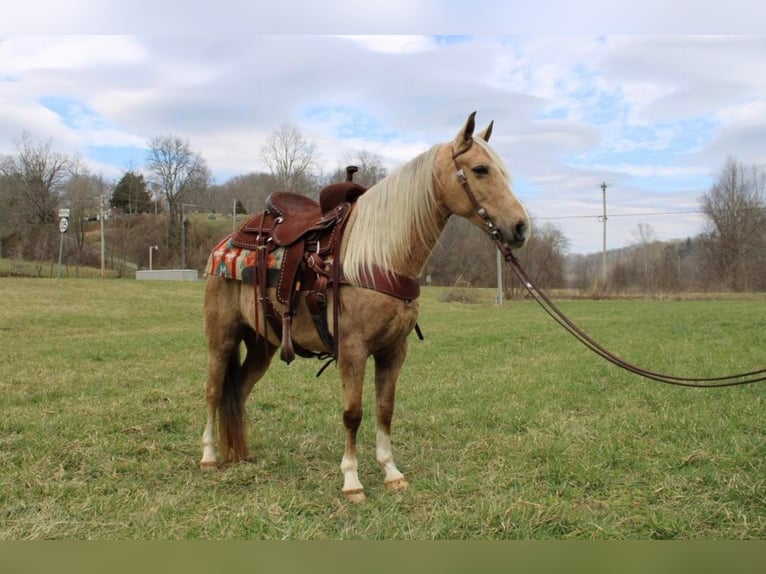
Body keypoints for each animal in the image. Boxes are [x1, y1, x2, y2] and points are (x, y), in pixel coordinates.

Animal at [201, 112, 532, 504]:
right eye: (481, 169)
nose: (521, 227)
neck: (381, 257)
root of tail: (228, 242)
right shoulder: (353, 350)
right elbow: (353, 413)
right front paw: (352, 481)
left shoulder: (393, 350)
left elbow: (385, 409)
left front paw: (391, 472)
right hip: (221, 338)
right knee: (214, 391)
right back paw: (209, 456)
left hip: (262, 345)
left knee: (239, 389)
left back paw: (241, 453)